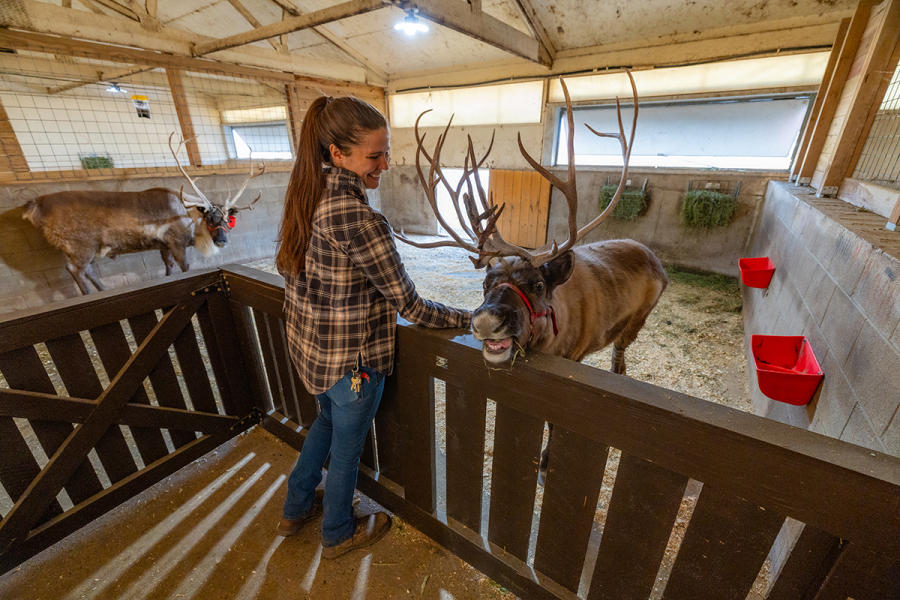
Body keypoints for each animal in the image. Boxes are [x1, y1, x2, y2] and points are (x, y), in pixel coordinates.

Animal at [22, 133, 265, 294]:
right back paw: (89, 294)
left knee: (86, 270)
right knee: (76, 270)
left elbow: (168, 268)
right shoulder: (176, 242)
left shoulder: (163, 245)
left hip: (79, 249)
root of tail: (35, 206)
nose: (222, 241)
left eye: (227, 219)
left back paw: (103, 290)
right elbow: (185, 268)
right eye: (209, 218)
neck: (190, 220)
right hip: (80, 246)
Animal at [394, 72, 668, 482]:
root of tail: (654, 259)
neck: (550, 338)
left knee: (620, 359)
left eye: (538, 285)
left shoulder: (573, 359)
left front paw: (546, 462)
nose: (486, 321)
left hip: (634, 323)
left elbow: (557, 424)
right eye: (485, 284)